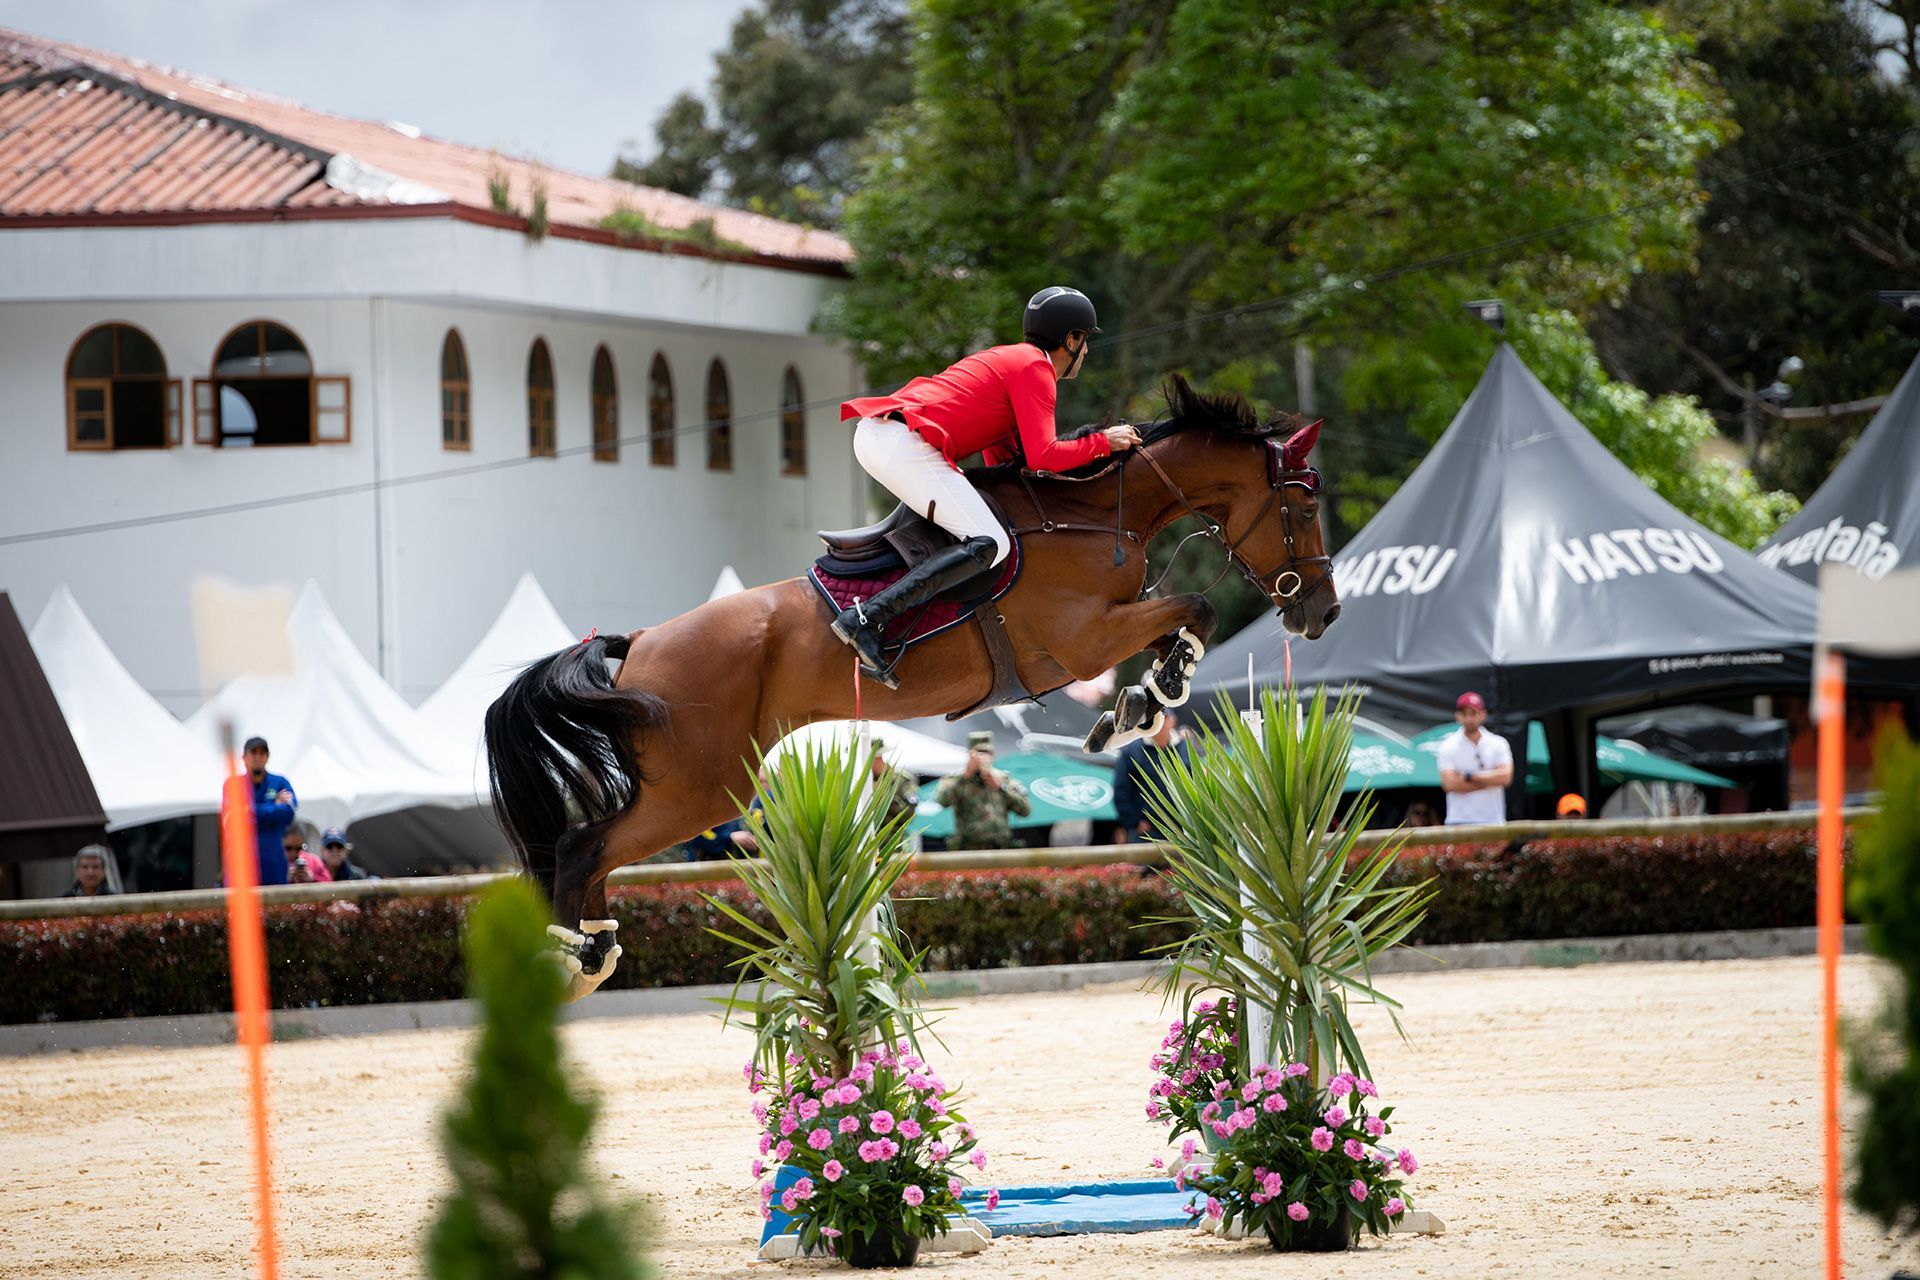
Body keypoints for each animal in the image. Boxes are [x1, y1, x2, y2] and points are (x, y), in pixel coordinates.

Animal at [485, 374, 1341, 998]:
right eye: (1303, 505)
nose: (1323, 614)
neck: (1099, 517)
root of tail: (638, 645)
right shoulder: (1082, 640)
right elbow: (1195, 607)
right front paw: (1149, 695)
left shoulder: (1108, 631)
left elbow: (1179, 628)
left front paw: (1140, 703)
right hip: (704, 787)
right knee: (583, 846)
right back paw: (569, 959)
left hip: (689, 783)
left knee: (591, 852)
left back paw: (593, 951)